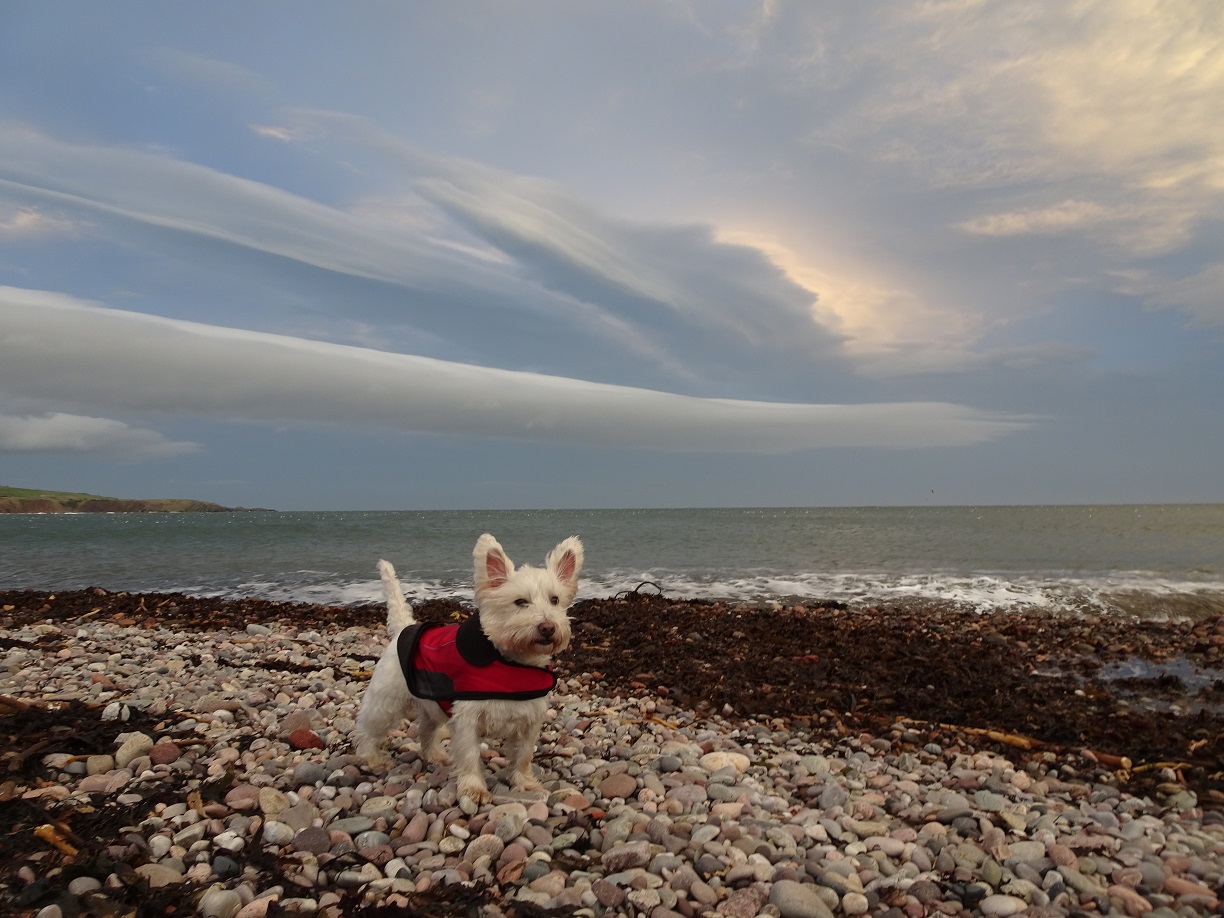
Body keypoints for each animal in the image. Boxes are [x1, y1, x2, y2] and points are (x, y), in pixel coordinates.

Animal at [354, 531, 582, 802]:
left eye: (555, 599)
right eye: (520, 601)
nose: (548, 628)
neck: (510, 662)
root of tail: (404, 627)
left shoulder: (529, 721)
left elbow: (523, 755)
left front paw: (525, 783)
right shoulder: (467, 719)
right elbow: (470, 755)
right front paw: (474, 789)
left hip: (430, 703)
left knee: (426, 728)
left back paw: (434, 755)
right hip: (386, 701)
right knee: (368, 729)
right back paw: (371, 758)